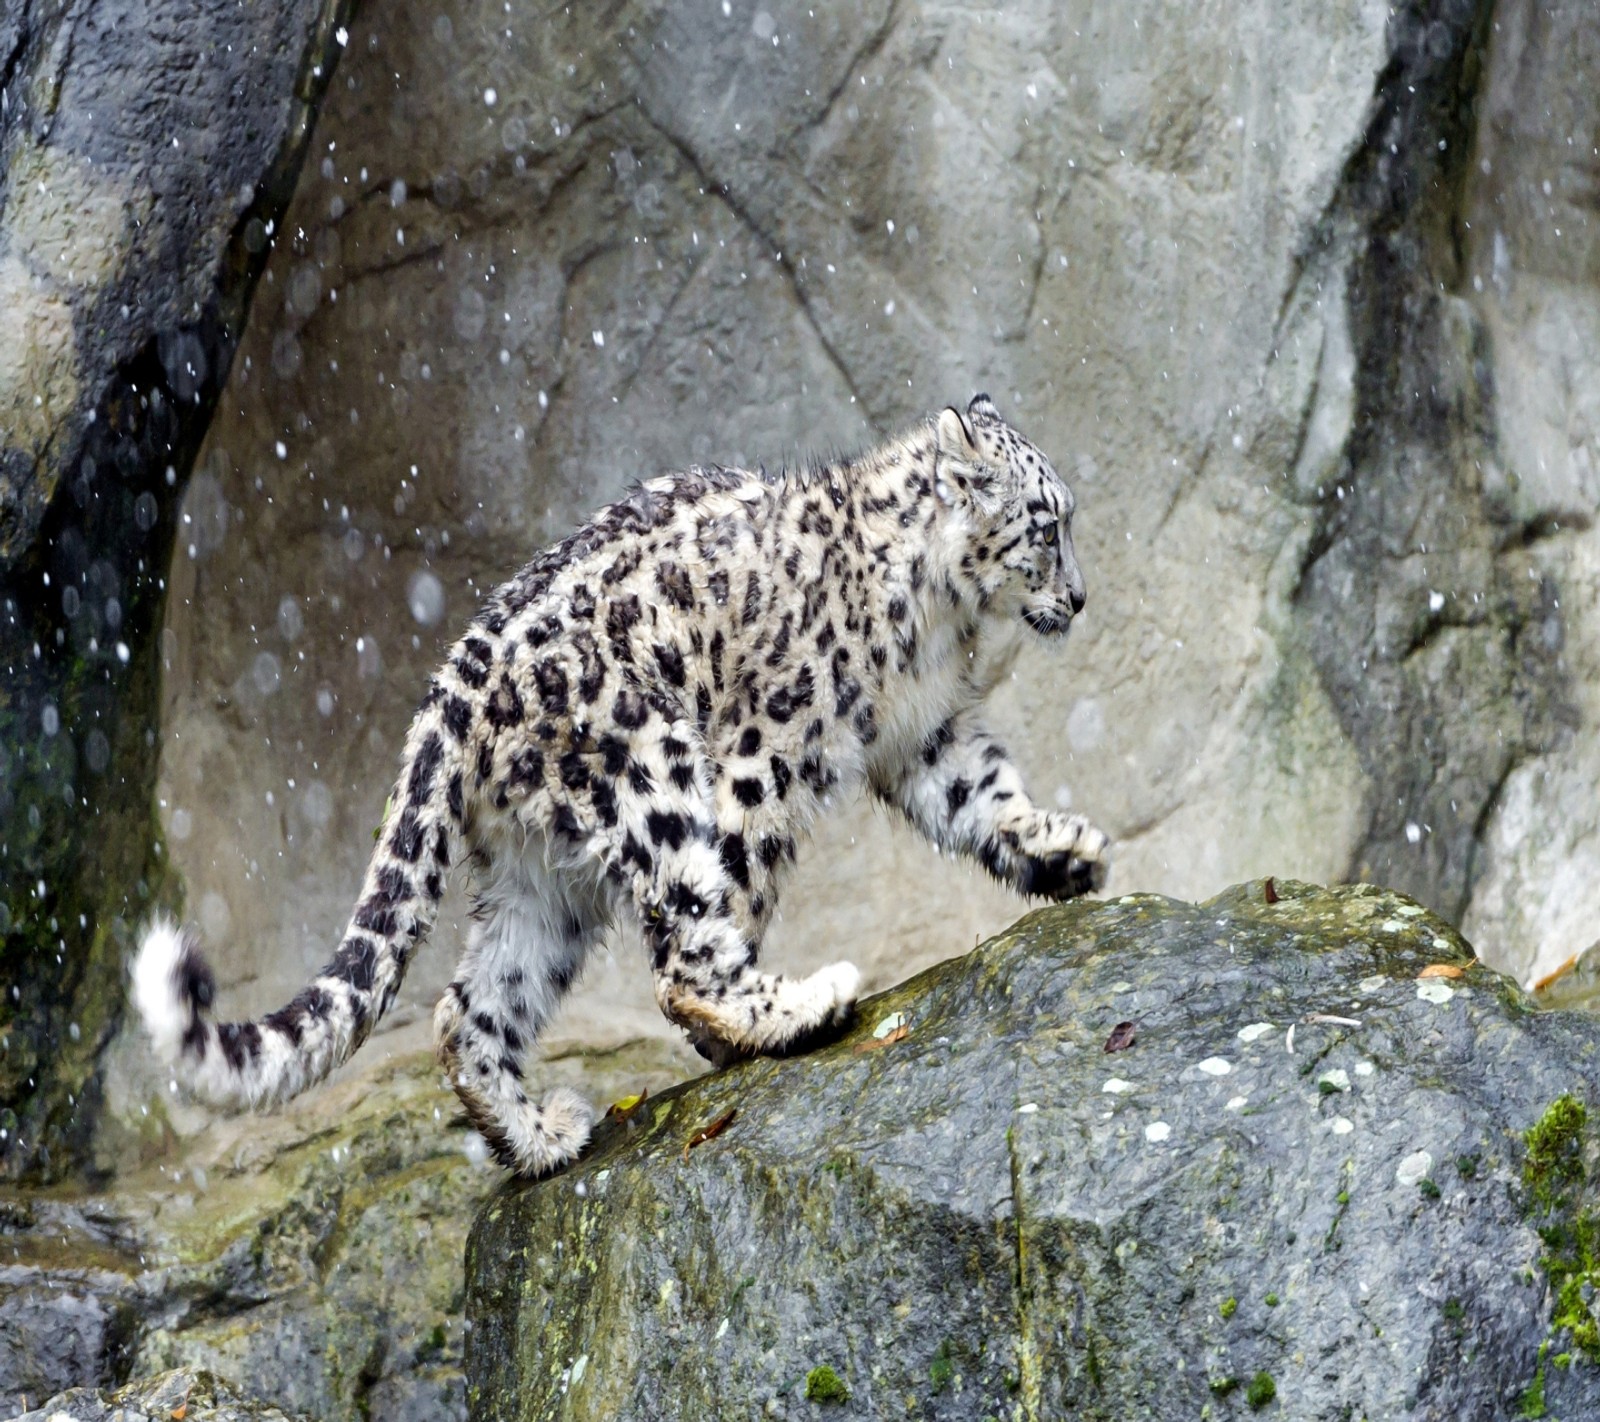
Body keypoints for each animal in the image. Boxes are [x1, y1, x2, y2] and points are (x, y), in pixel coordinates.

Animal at [134, 391, 1113, 1177]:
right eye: (1045, 525)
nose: (1081, 597)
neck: (941, 622)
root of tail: (452, 686)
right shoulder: (770, 745)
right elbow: (741, 878)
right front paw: (723, 1038)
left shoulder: (926, 736)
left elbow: (986, 797)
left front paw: (1070, 853)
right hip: (649, 767)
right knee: (681, 946)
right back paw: (797, 1003)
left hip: (541, 871)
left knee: (474, 1004)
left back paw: (537, 1137)